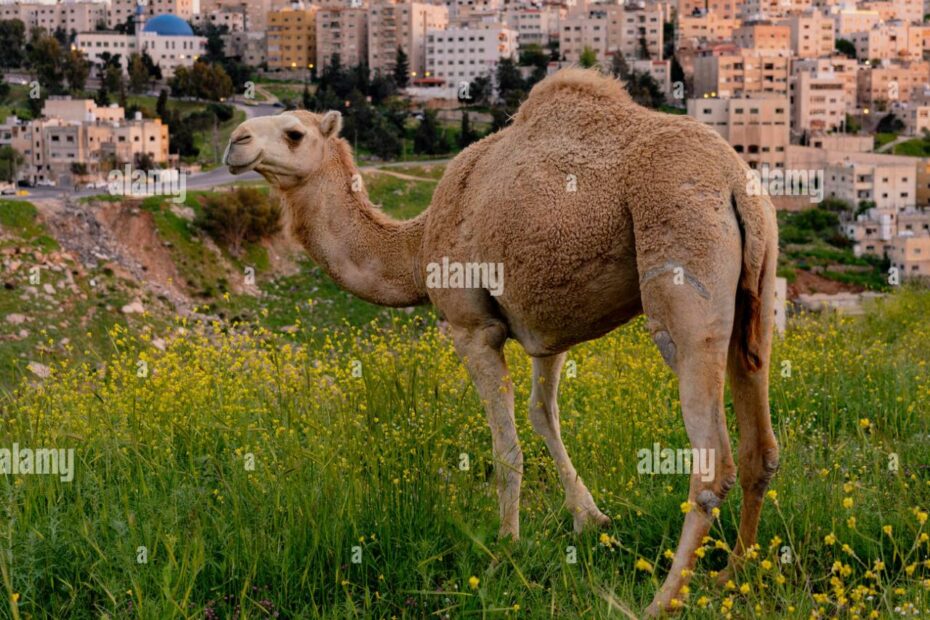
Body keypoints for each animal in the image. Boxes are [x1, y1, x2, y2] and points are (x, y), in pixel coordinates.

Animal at [223, 69, 776, 616]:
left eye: (294, 133)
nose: (235, 142)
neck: (416, 246)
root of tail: (736, 184)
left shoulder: (471, 327)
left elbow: (505, 445)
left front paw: (506, 550)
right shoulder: (548, 327)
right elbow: (542, 413)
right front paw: (592, 520)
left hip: (684, 275)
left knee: (712, 461)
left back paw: (662, 599)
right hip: (757, 294)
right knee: (760, 443)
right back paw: (733, 574)